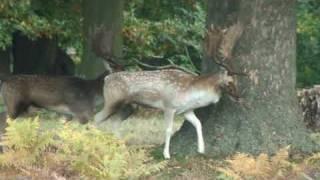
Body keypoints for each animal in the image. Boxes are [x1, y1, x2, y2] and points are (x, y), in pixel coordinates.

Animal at [95, 22, 245, 159]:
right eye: (230, 81)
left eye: (237, 81)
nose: (239, 96)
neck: (192, 93)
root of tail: (107, 79)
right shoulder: (169, 106)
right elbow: (168, 129)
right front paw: (166, 155)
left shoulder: (186, 111)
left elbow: (198, 124)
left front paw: (201, 149)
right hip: (112, 100)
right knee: (96, 118)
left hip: (125, 105)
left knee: (114, 123)